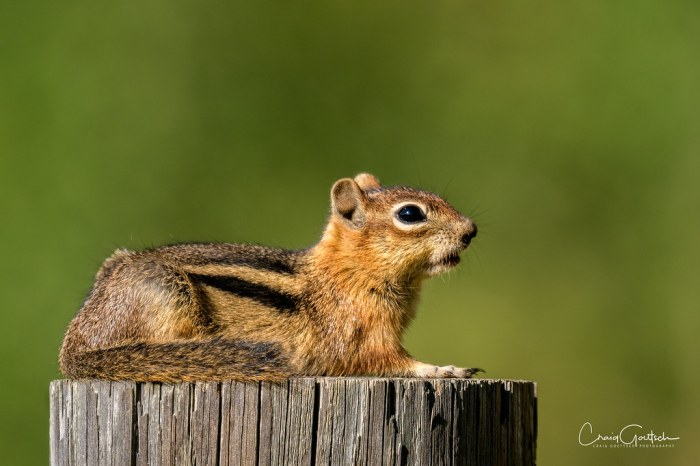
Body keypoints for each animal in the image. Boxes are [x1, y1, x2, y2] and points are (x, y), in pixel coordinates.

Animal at [58, 173, 482, 380]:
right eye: (410, 214)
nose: (471, 230)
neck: (347, 270)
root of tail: (74, 349)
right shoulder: (356, 334)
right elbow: (391, 362)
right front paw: (444, 369)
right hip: (164, 290)